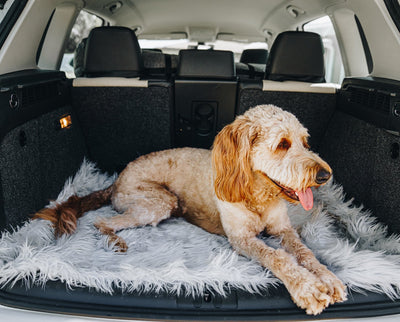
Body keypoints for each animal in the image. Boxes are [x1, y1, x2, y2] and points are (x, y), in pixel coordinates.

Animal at [33, 105, 346, 314]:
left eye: (305, 142)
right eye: (282, 144)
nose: (325, 175)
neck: (256, 193)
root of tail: (116, 181)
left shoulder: (283, 229)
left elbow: (305, 253)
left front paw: (328, 279)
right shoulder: (242, 239)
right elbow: (277, 257)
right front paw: (307, 288)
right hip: (160, 201)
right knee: (102, 222)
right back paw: (114, 240)